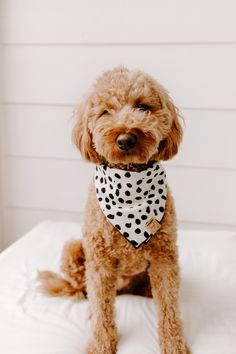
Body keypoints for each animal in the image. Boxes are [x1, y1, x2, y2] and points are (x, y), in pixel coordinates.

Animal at [38, 67, 190, 354]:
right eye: (105, 112)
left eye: (142, 107)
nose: (126, 139)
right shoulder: (100, 262)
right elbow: (101, 308)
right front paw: (100, 344)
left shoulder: (164, 258)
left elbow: (169, 307)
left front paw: (174, 344)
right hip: (75, 249)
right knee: (85, 291)